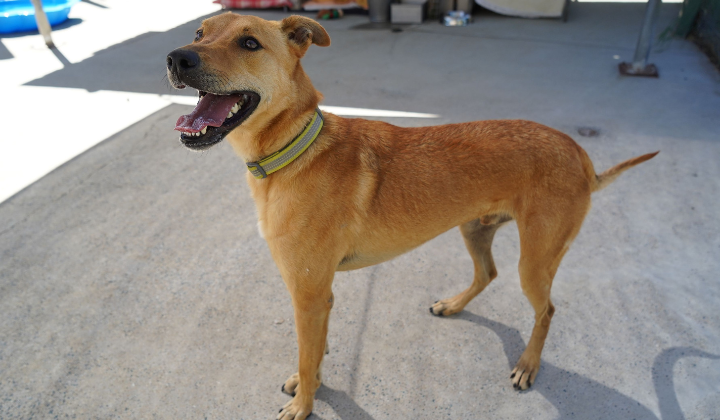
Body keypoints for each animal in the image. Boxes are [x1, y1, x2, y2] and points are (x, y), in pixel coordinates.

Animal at [167, 12, 660, 416]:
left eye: (249, 43)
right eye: (200, 33)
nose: (176, 57)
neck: (295, 150)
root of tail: (579, 154)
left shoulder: (309, 295)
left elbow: (309, 356)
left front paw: (305, 404)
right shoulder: (319, 297)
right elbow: (315, 352)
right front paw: (311, 384)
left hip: (536, 261)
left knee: (547, 310)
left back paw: (527, 364)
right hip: (475, 229)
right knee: (488, 273)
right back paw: (454, 305)